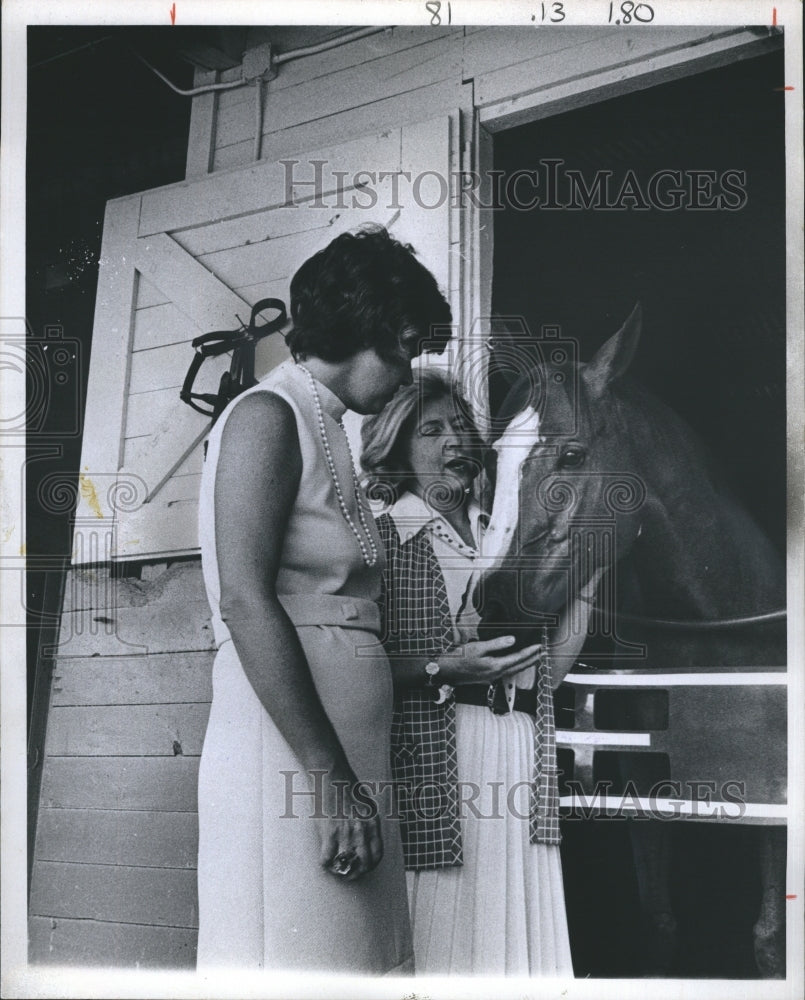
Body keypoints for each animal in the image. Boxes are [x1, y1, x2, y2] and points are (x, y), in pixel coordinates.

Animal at [472, 306, 784, 976]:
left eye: (573, 453)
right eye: (492, 461)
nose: (495, 609)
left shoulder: (772, 799)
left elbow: (770, 939)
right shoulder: (645, 790)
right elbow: (657, 925)